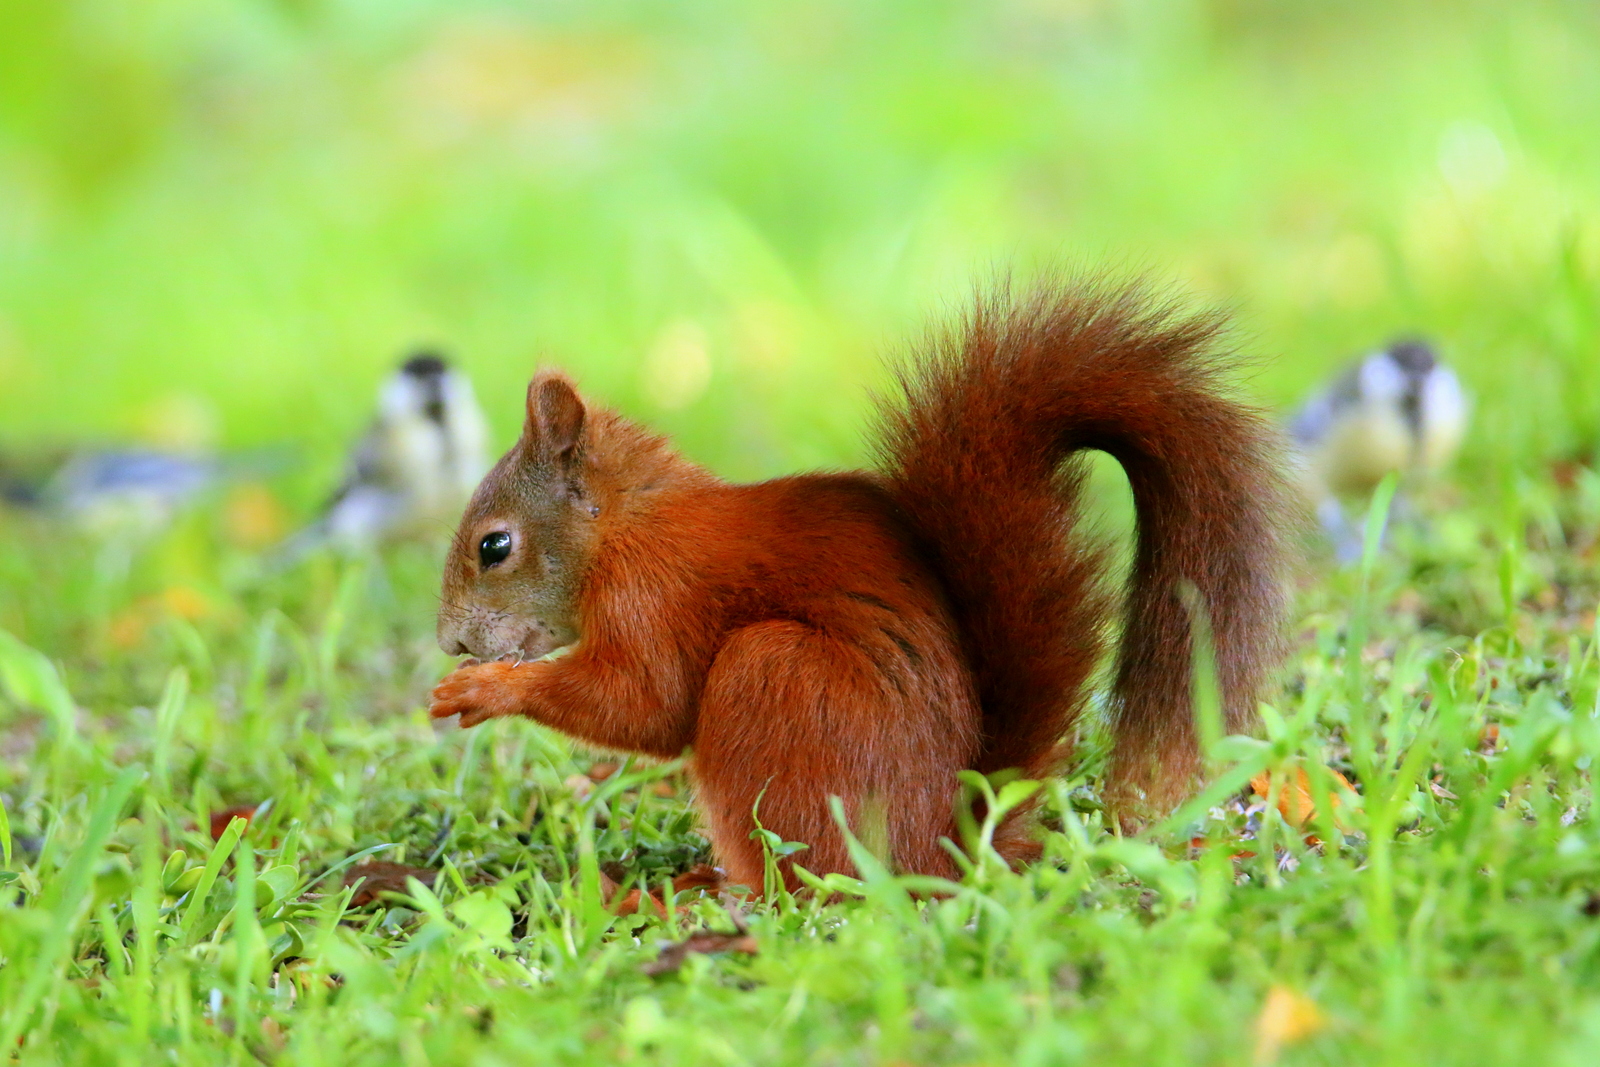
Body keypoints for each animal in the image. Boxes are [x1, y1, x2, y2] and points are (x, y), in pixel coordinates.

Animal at [432, 281, 1292, 895]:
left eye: (494, 546)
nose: (451, 641)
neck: (623, 523)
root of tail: (946, 849)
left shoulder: (653, 591)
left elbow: (644, 700)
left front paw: (486, 689)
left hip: (776, 679)